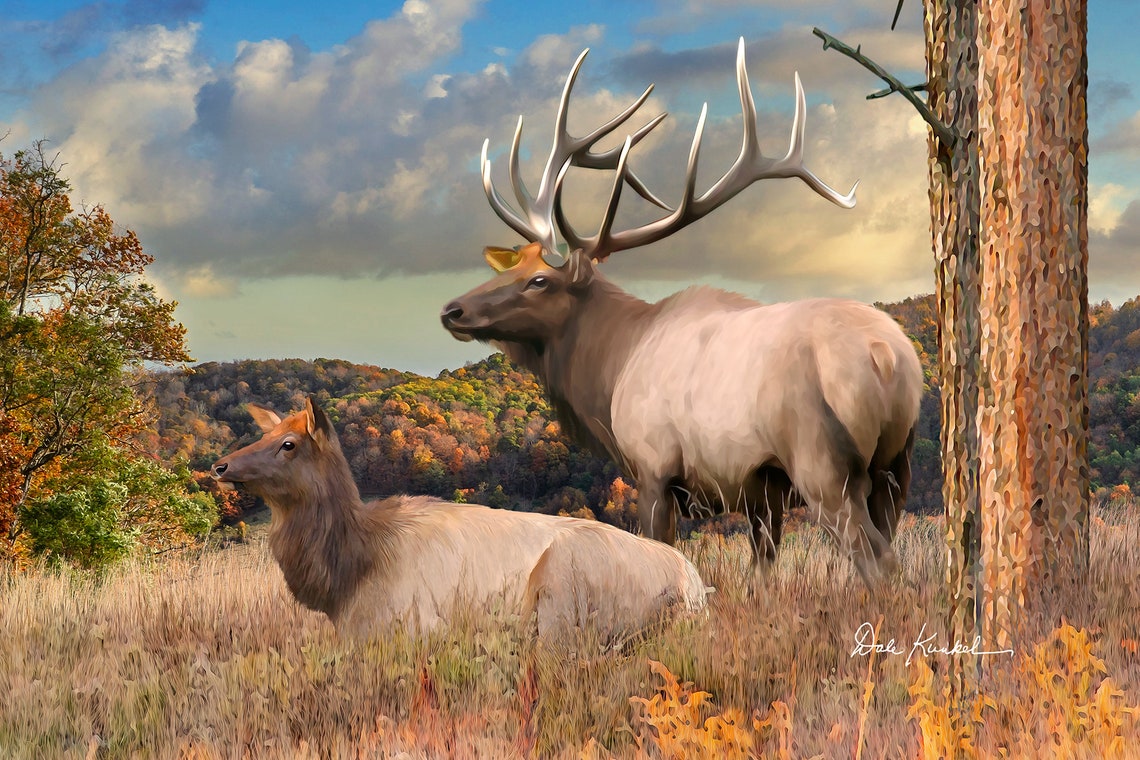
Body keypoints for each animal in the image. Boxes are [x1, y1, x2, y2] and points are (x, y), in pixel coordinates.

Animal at [210, 397, 709, 641]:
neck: (345, 581)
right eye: (265, 433)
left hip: (564, 596)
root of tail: (694, 589)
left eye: (289, 443)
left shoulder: (407, 627)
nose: (219, 466)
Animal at [440, 38, 923, 587]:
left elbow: (662, 550)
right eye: (514, 264)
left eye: (540, 280)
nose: (452, 310)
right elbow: (763, 569)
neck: (611, 371)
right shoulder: (761, 486)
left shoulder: (655, 466)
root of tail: (886, 357)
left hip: (823, 463)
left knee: (877, 559)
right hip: (897, 464)